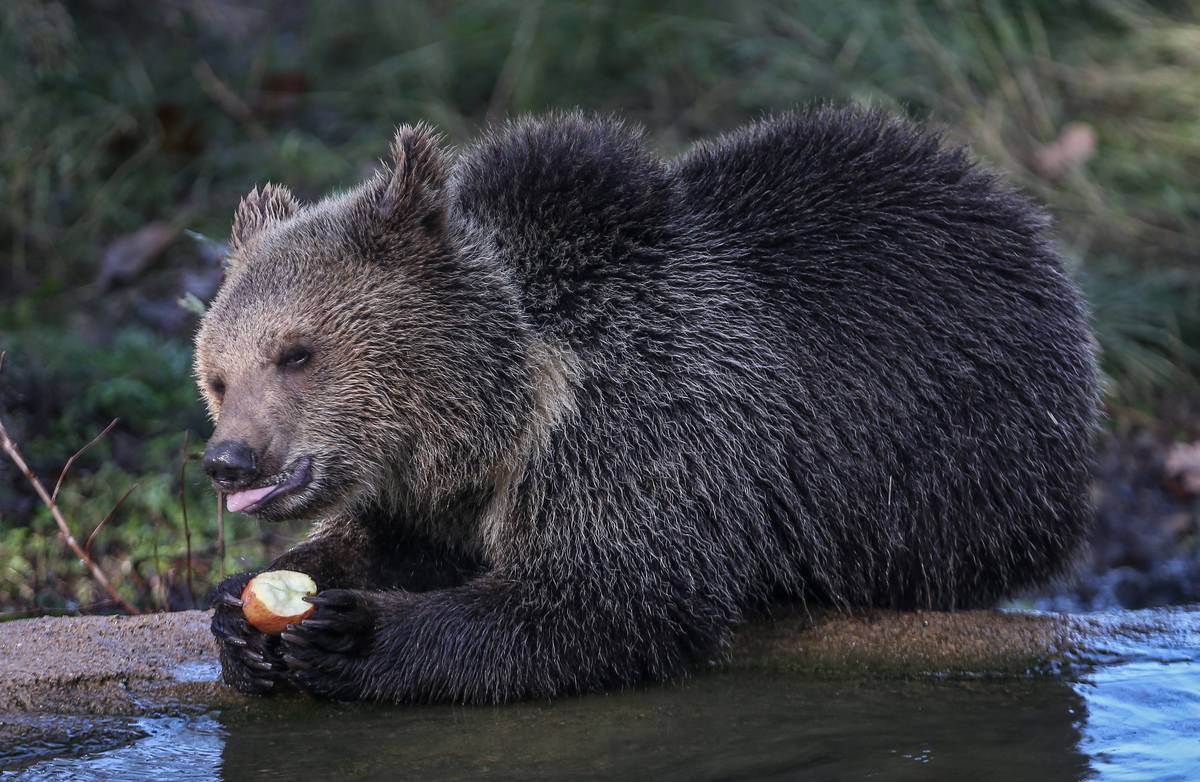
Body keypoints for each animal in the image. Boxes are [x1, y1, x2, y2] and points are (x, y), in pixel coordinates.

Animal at [196, 106, 1099, 704]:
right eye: (218, 375)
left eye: (297, 352)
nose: (229, 458)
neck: (504, 405)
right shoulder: (443, 490)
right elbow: (393, 543)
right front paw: (246, 613)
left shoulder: (641, 423)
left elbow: (608, 601)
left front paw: (354, 634)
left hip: (958, 465)